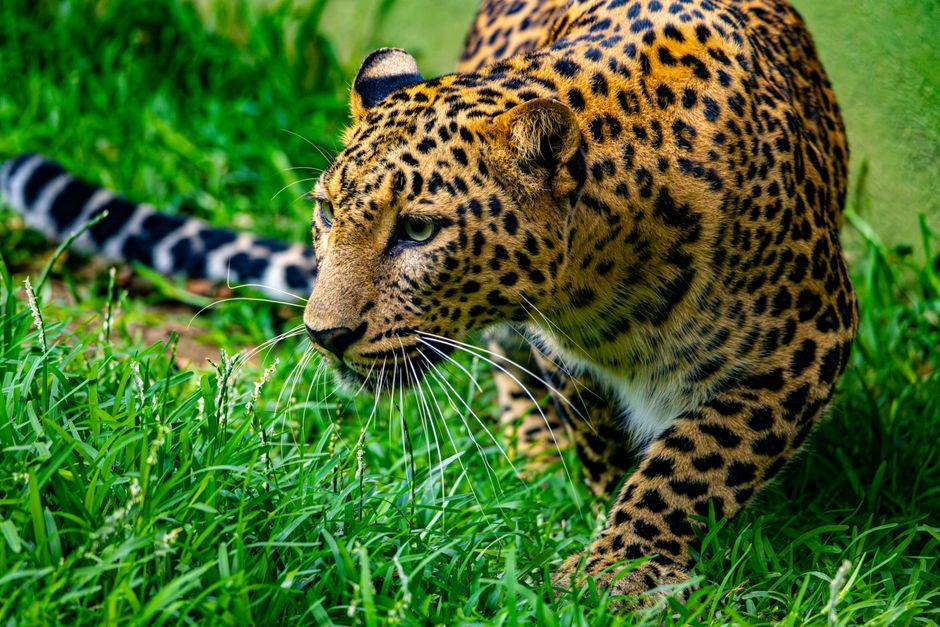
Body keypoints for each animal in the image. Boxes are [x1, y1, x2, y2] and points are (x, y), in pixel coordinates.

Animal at [2, 0, 857, 608]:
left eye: (416, 230)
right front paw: (591, 516)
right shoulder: (562, 354)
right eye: (326, 212)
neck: (602, 273)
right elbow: (598, 435)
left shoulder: (804, 344)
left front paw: (617, 567)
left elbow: (696, 460)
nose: (322, 334)